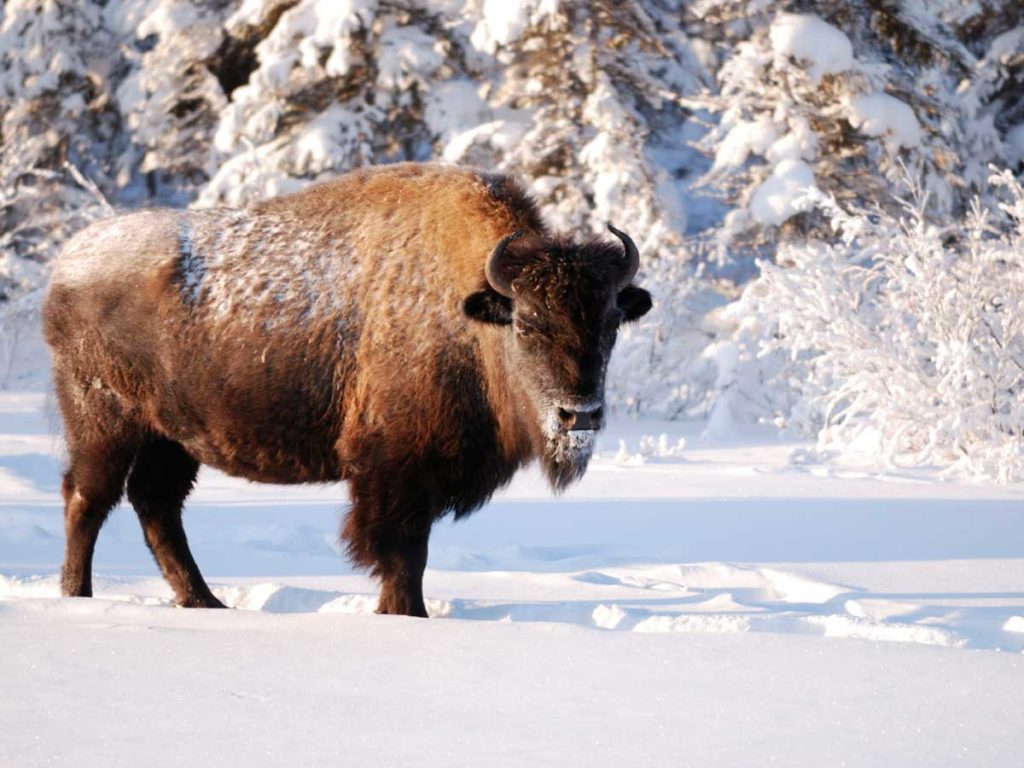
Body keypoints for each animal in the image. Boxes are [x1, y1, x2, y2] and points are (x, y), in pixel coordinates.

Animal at [44, 163, 651, 618]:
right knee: (88, 500)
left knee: (157, 507)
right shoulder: (396, 472)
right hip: (105, 422)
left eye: (611, 323)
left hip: (172, 439)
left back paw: (205, 602)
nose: (579, 415)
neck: (469, 311)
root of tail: (66, 264)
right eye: (526, 324)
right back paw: (79, 597)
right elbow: (404, 553)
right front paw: (405, 614)